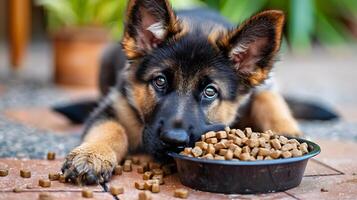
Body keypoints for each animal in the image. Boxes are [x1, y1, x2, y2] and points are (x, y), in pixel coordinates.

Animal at [61, 0, 300, 184]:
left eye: (210, 91)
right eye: (160, 81)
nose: (173, 140)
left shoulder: (262, 90)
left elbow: (269, 101)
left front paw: (287, 134)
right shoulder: (116, 105)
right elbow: (110, 129)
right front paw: (92, 155)